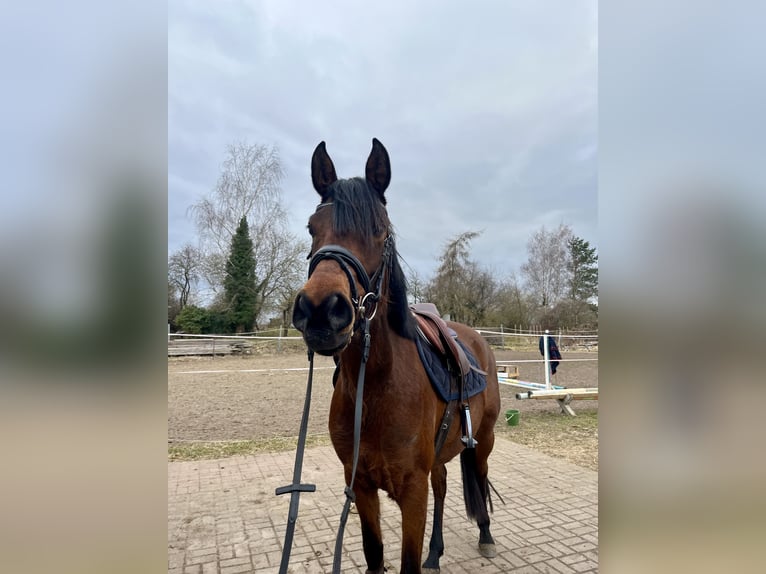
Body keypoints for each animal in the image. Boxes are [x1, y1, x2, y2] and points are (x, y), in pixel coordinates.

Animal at [292, 138, 501, 573]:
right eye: (311, 228)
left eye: (381, 230)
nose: (321, 310)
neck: (375, 387)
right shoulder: (360, 486)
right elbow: (375, 555)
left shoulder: (411, 491)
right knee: (443, 486)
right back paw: (435, 553)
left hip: (484, 440)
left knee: (478, 475)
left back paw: (486, 537)